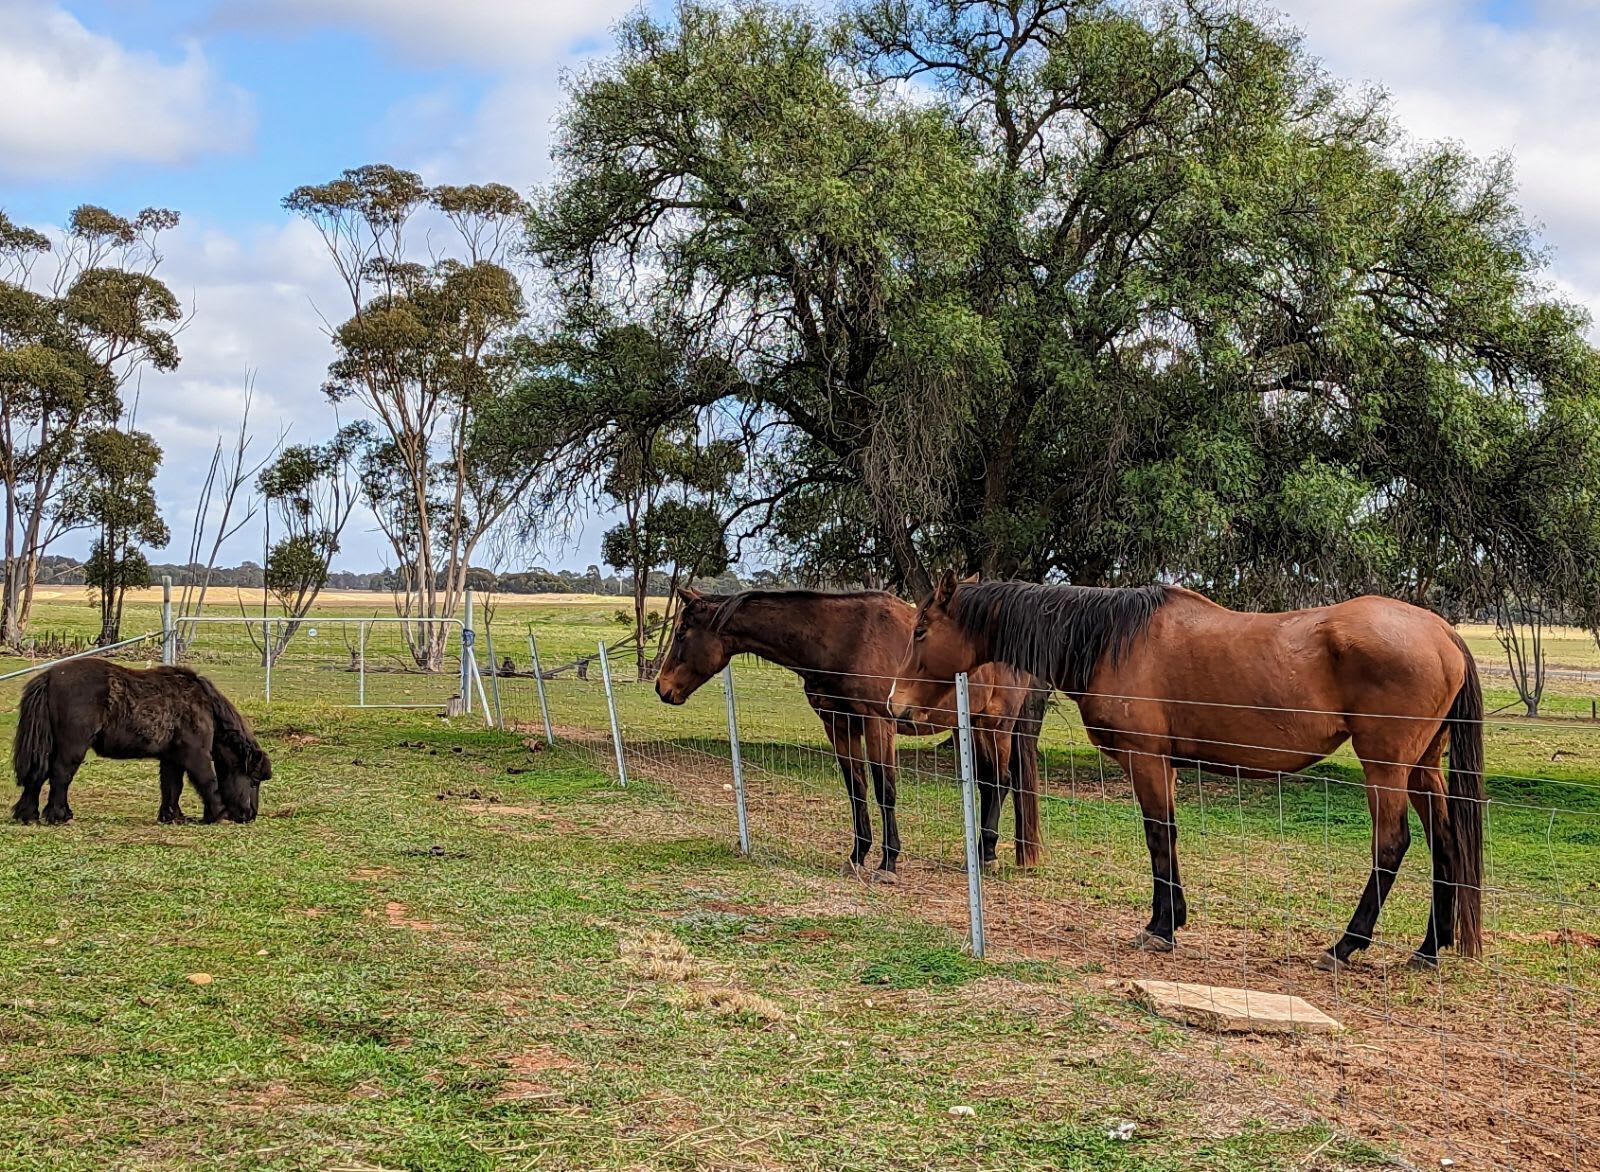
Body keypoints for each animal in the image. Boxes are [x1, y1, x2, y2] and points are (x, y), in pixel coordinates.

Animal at [12, 658, 273, 826]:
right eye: (254, 780)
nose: (250, 815)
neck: (205, 706)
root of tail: (49, 676)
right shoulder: (196, 755)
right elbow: (207, 781)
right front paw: (218, 813)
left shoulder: (171, 758)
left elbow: (172, 787)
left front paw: (173, 816)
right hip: (72, 748)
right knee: (60, 776)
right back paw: (59, 816)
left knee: (38, 776)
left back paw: (28, 814)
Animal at [655, 588, 1045, 878]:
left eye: (681, 633)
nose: (662, 688)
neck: (844, 638)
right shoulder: (837, 725)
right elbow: (856, 788)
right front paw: (857, 856)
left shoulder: (878, 724)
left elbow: (885, 789)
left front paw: (888, 863)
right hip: (975, 725)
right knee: (990, 784)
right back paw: (980, 855)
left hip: (996, 726)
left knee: (1001, 781)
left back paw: (987, 857)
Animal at [889, 572, 1484, 971]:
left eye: (921, 630)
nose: (897, 706)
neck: (1110, 640)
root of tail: (1444, 633)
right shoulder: (1167, 766)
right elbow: (1170, 838)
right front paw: (1172, 919)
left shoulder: (1147, 761)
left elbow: (1158, 835)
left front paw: (1158, 928)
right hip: (1423, 768)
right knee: (1446, 842)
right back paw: (1429, 949)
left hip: (1385, 767)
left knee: (1393, 846)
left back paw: (1346, 946)